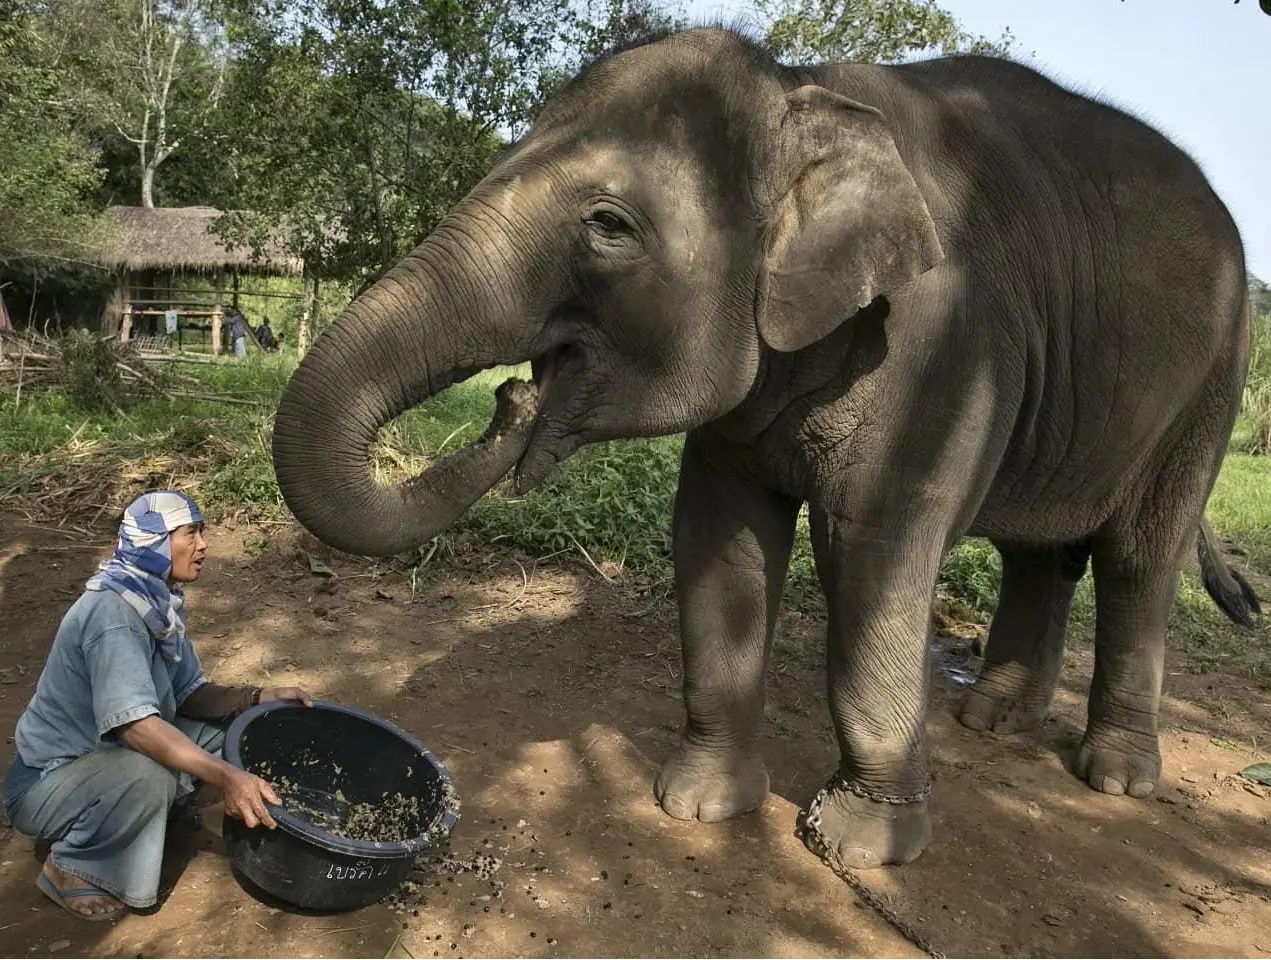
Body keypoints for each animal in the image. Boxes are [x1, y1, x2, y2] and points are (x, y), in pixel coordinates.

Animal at [270, 27, 1262, 869]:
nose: (511, 401)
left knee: (1138, 557)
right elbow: (719, 536)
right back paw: (990, 720)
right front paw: (698, 805)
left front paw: (859, 849)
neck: (799, 93)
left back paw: (1115, 774)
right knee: (1038, 551)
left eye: (607, 224)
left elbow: (874, 552)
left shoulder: (942, 343)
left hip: (1215, 377)